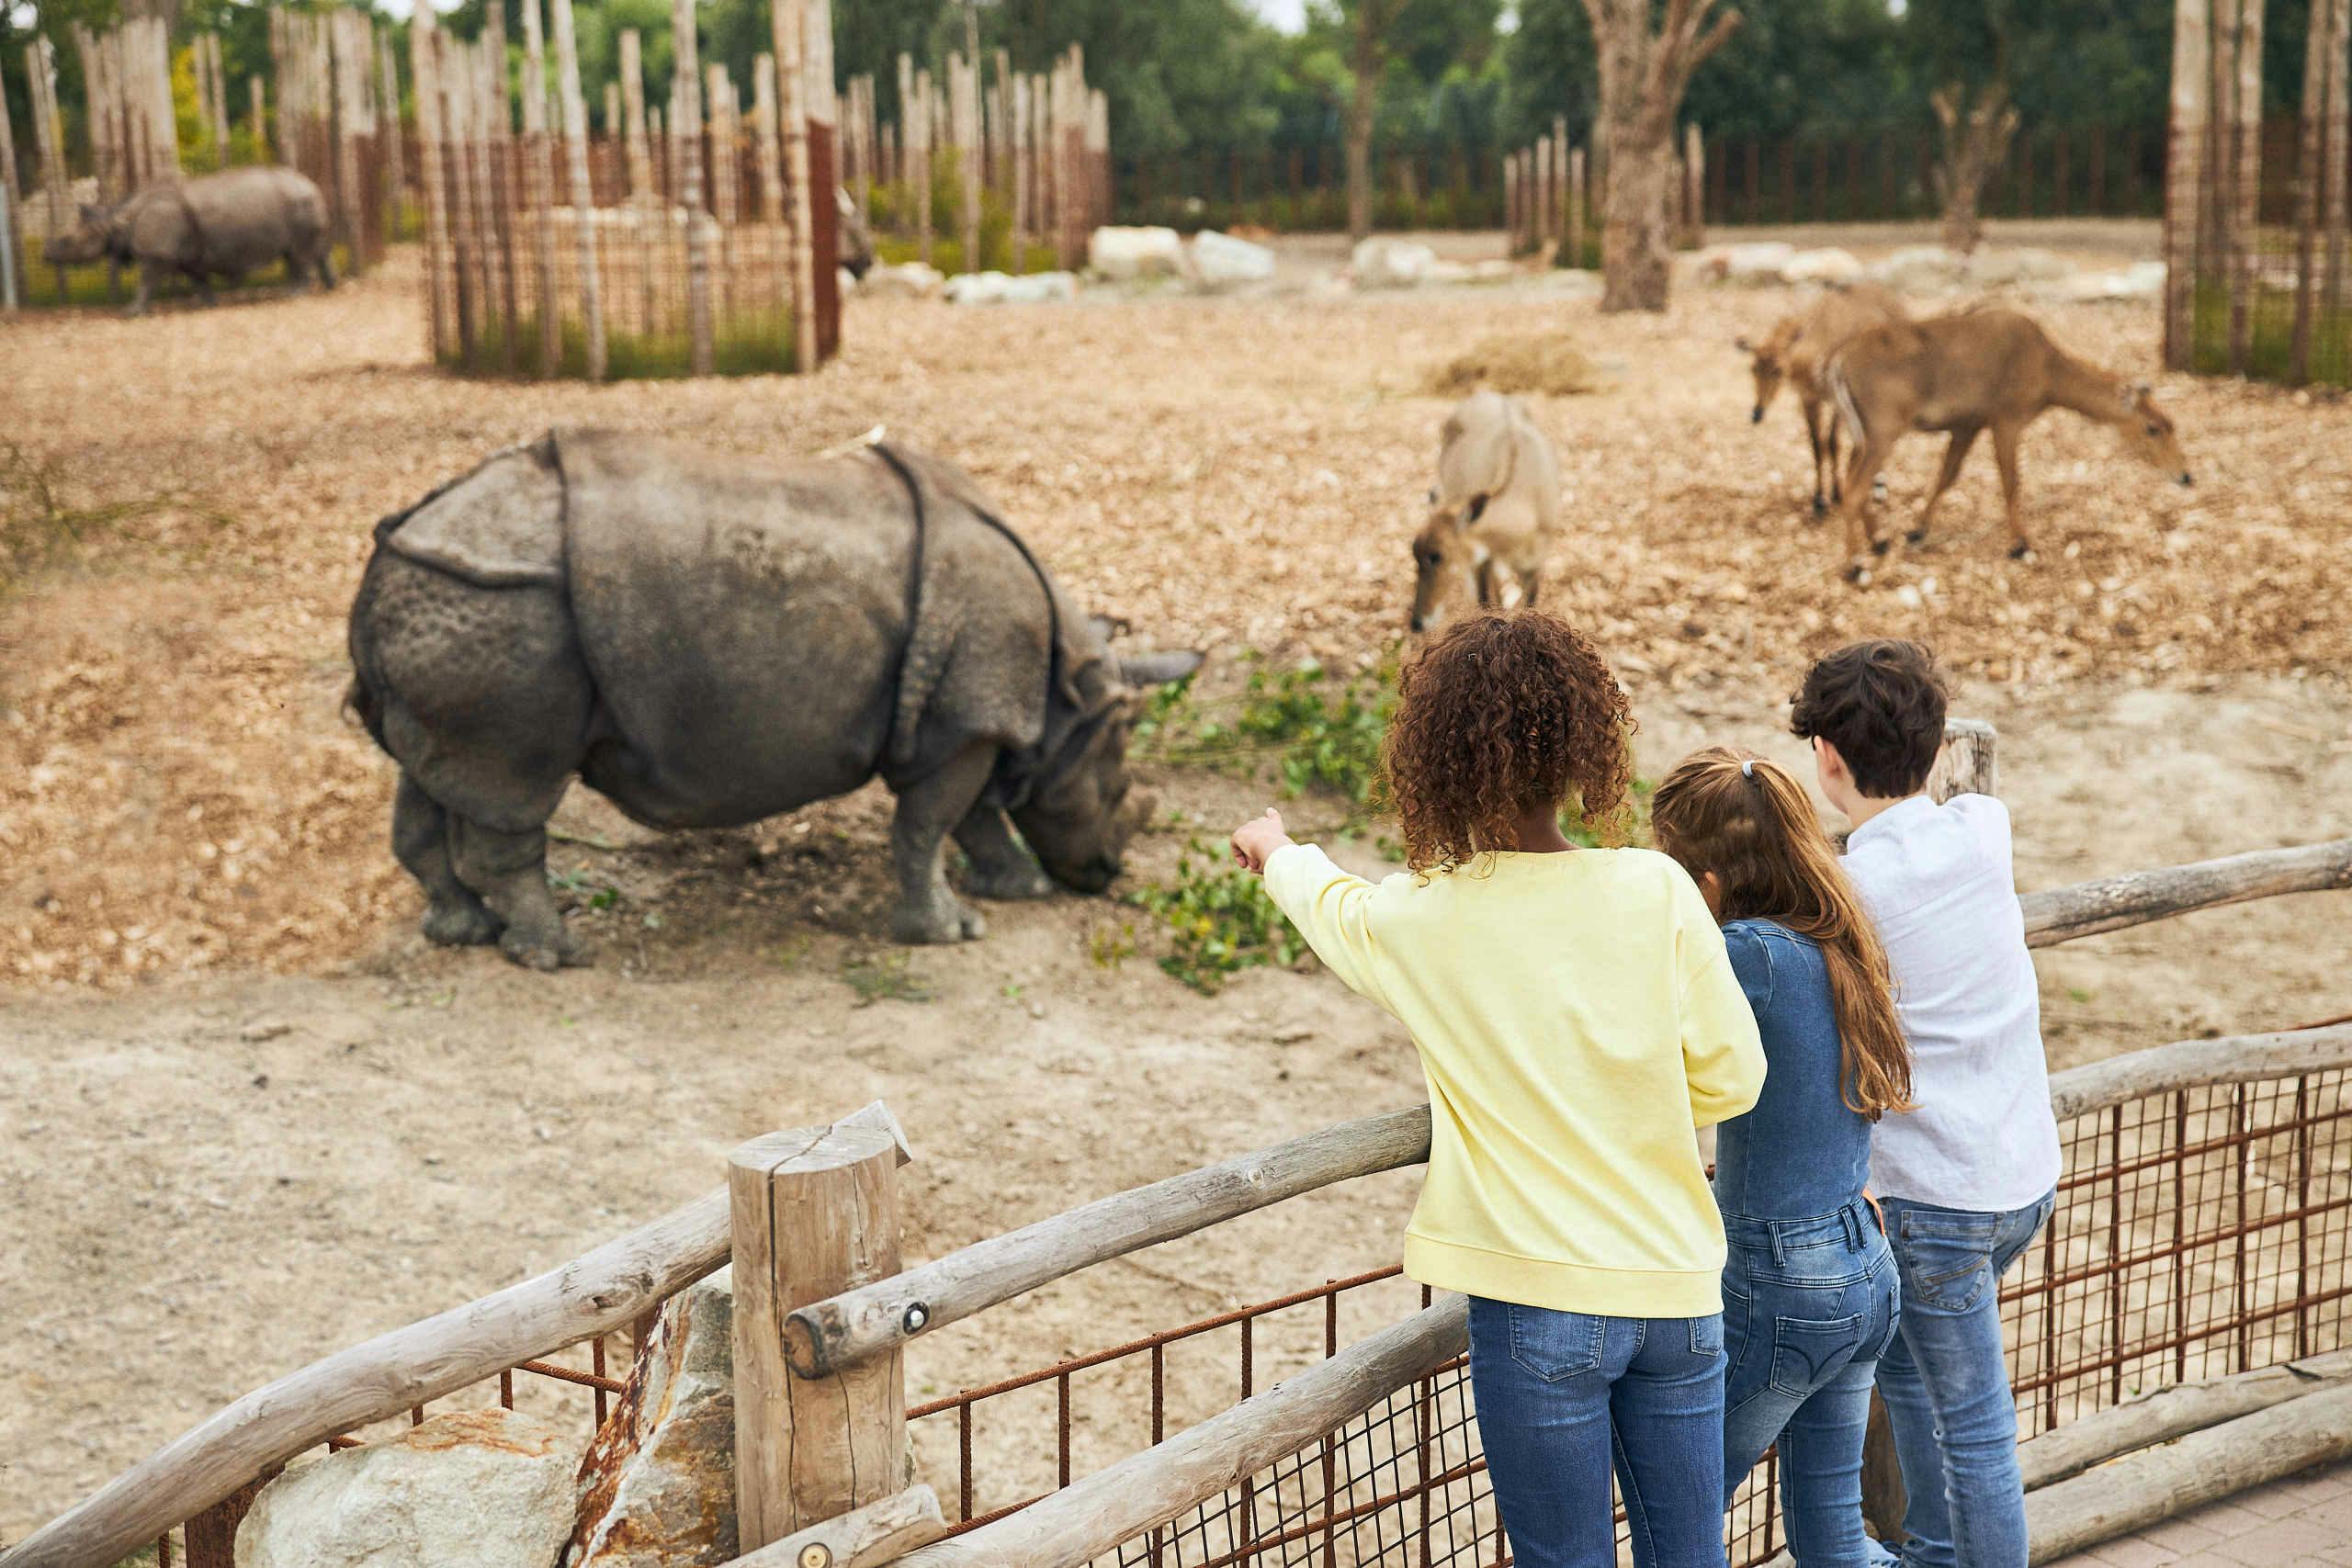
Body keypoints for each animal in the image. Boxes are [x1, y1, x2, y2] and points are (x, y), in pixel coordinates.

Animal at [44, 166, 333, 315]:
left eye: (67, 241)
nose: (45, 255)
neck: (116, 222)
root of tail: (313, 183)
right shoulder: (188, 253)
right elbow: (198, 278)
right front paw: (208, 304)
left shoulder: (156, 252)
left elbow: (146, 280)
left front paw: (131, 312)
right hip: (304, 202)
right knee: (308, 251)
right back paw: (330, 287)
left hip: (300, 203)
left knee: (299, 253)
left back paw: (294, 295)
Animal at [346, 431, 1201, 968]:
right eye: (1117, 786)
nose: (1107, 872)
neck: (1069, 692)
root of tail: (387, 556)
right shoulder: (971, 718)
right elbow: (931, 824)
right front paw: (954, 934)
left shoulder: (969, 720)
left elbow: (972, 819)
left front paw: (1016, 889)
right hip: (505, 610)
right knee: (518, 783)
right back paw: (556, 955)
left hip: (455, 606)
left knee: (429, 778)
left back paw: (463, 932)